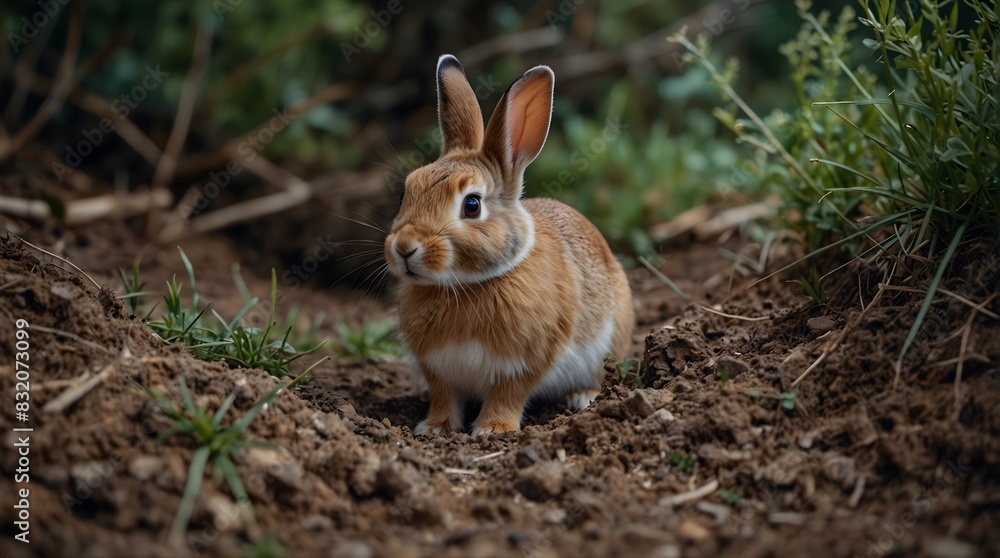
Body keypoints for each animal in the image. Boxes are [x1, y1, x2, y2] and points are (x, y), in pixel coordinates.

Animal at [384, 54, 634, 436]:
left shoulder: (528, 361)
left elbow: (509, 393)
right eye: (405, 193)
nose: (404, 247)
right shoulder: (437, 369)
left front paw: (492, 429)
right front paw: (436, 428)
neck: (466, 284)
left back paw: (584, 396)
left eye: (472, 205)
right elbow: (443, 396)